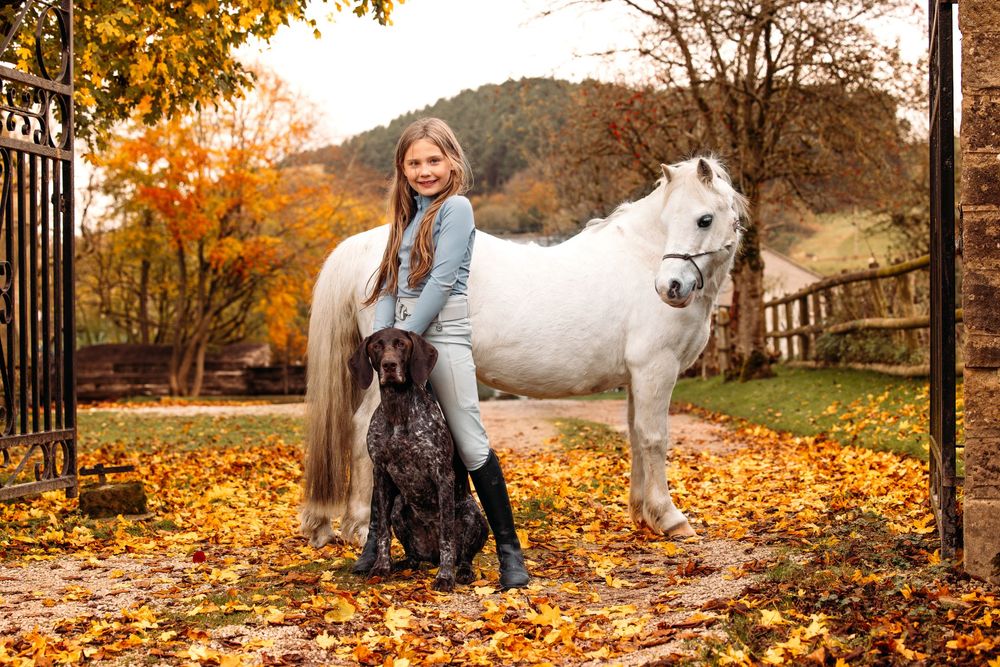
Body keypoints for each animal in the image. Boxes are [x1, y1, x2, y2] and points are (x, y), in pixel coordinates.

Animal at [300, 156, 748, 549]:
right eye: (677, 220)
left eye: (703, 219)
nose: (670, 287)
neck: (639, 260)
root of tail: (366, 246)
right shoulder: (656, 368)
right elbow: (655, 438)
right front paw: (670, 518)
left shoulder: (638, 377)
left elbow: (637, 437)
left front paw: (643, 514)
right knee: (362, 430)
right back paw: (360, 527)